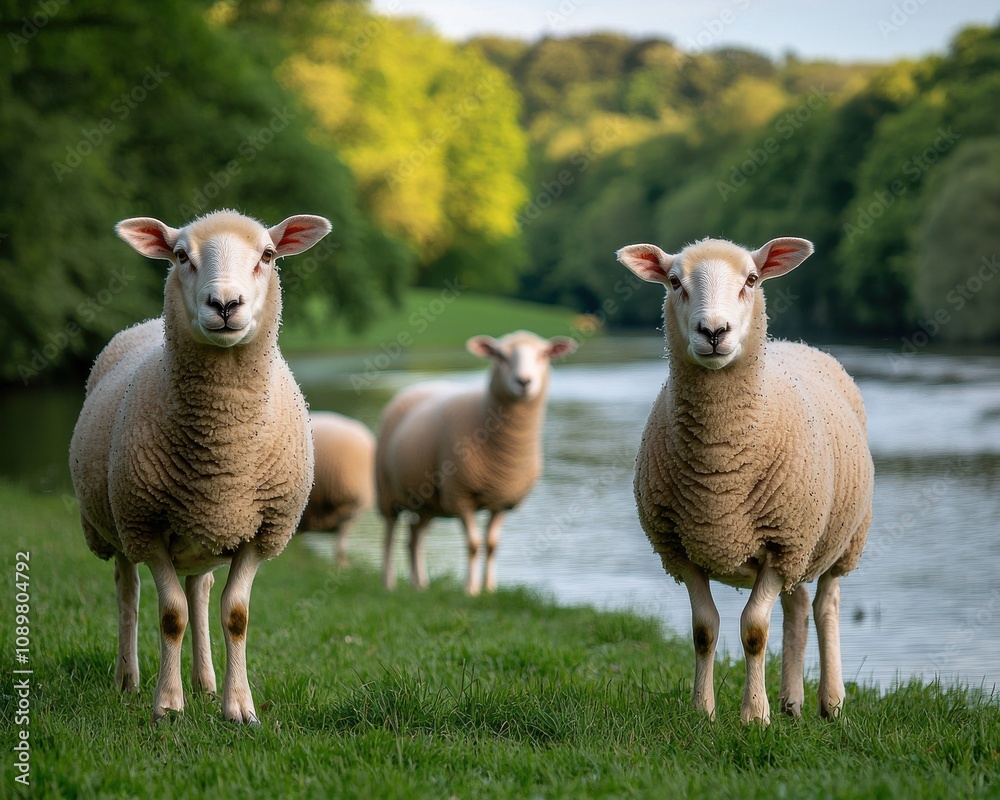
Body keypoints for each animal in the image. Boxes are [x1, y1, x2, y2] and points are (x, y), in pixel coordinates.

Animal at [69, 209, 331, 724]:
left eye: (268, 254)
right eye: (180, 255)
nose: (225, 304)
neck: (221, 457)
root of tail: (145, 323)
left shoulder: (261, 530)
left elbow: (235, 615)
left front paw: (239, 707)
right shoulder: (146, 525)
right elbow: (171, 615)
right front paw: (168, 706)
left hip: (200, 536)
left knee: (201, 591)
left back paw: (205, 681)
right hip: (118, 523)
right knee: (128, 591)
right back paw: (128, 679)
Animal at [375, 331, 578, 594]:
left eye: (544, 354)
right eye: (500, 355)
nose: (524, 382)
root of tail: (417, 385)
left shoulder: (503, 499)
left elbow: (492, 544)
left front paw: (489, 589)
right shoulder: (461, 495)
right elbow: (473, 544)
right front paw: (470, 590)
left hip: (427, 501)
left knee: (413, 536)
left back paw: (419, 585)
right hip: (386, 489)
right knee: (389, 534)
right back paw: (388, 583)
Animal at [617, 237, 874, 724]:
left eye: (752, 280)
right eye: (674, 281)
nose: (713, 331)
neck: (719, 473)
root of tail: (796, 343)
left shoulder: (781, 541)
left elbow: (754, 630)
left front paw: (754, 716)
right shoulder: (680, 548)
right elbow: (704, 629)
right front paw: (703, 711)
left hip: (838, 539)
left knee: (825, 605)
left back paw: (830, 702)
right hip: (801, 548)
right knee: (796, 607)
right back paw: (792, 701)